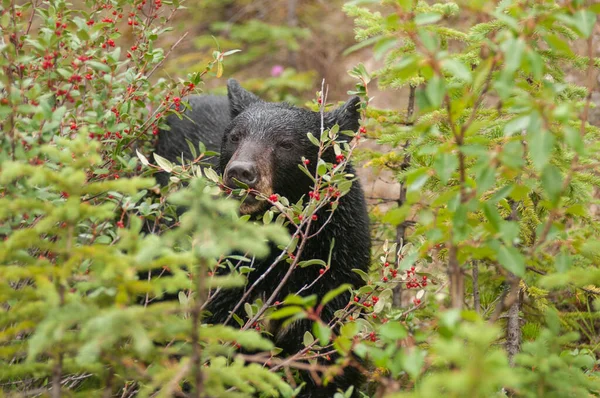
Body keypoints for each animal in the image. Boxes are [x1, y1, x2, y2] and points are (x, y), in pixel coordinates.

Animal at [155, 79, 370, 396]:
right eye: (234, 137)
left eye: (286, 144)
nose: (240, 172)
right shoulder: (227, 275)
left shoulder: (339, 266)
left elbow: (327, 355)